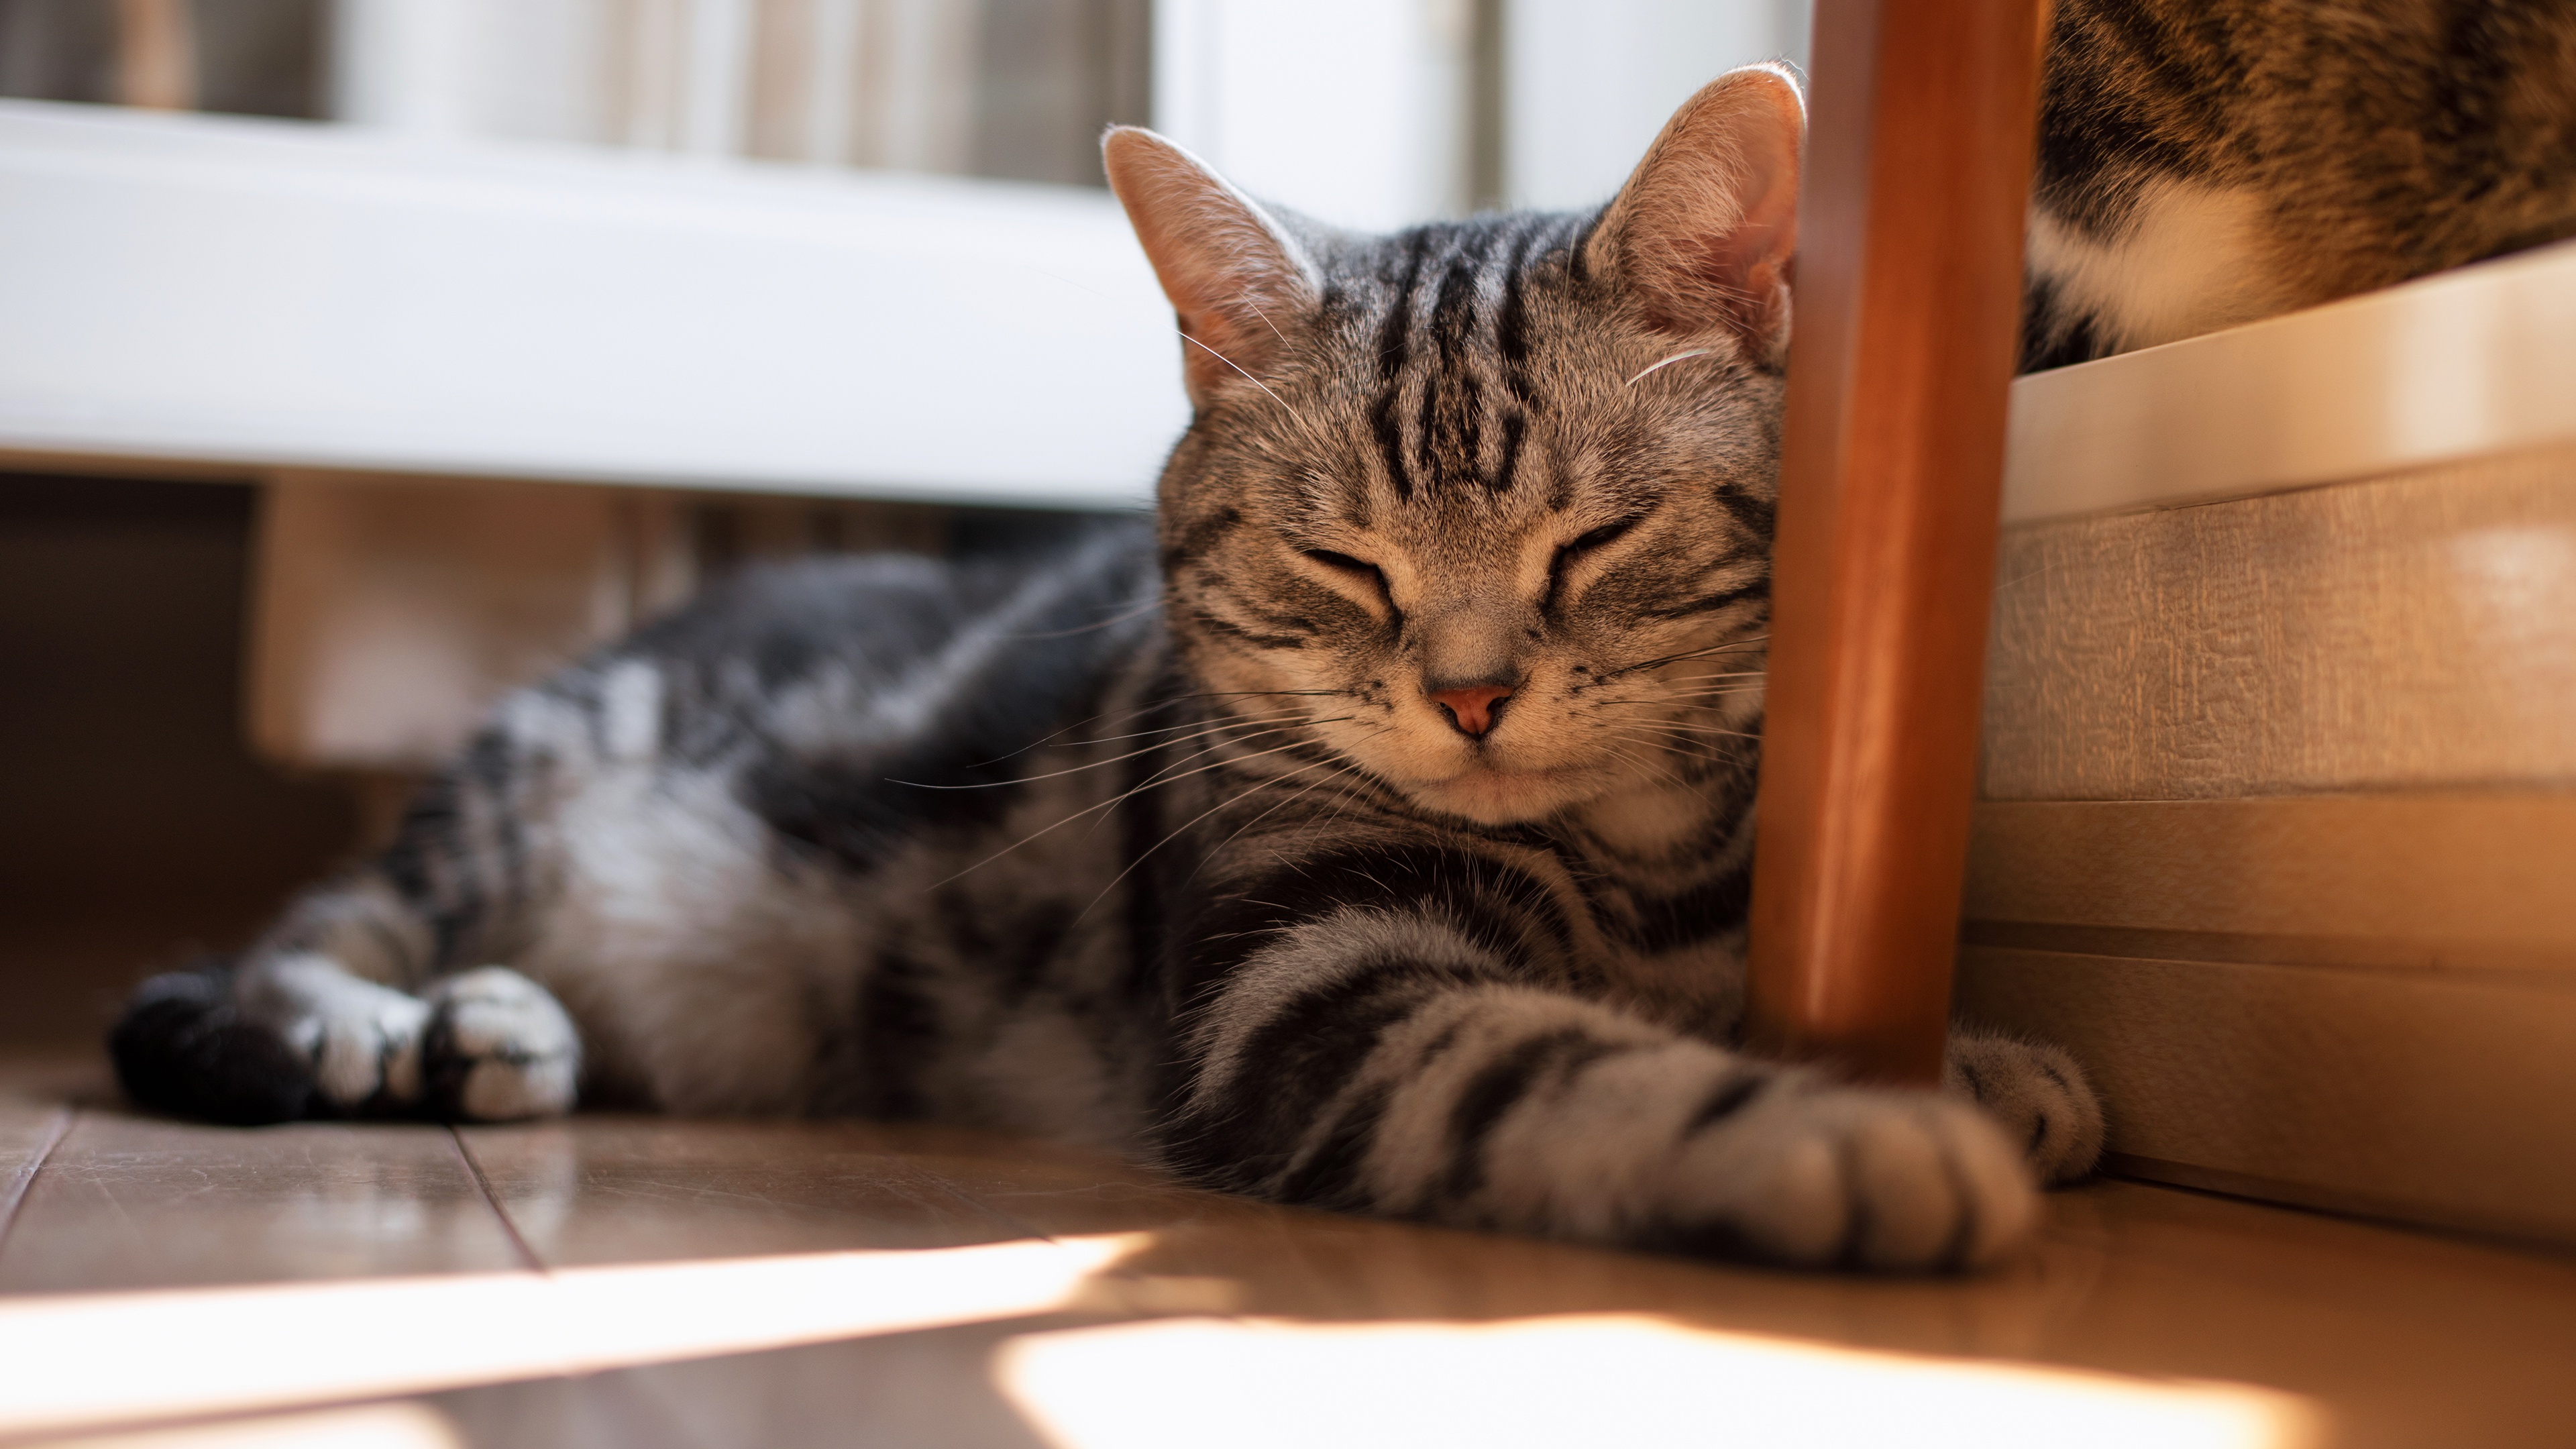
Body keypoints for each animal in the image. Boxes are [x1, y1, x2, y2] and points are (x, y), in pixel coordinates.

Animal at [111, 67, 2102, 1263]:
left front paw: (1974, 1059)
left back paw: (499, 1028)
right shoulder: (1300, 986)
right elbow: (1560, 1066)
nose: (1467, 697)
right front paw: (1840, 1133)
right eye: (1343, 564)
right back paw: (380, 1023)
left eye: (1590, 545)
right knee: (315, 927)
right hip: (512, 803)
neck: (1628, 870)